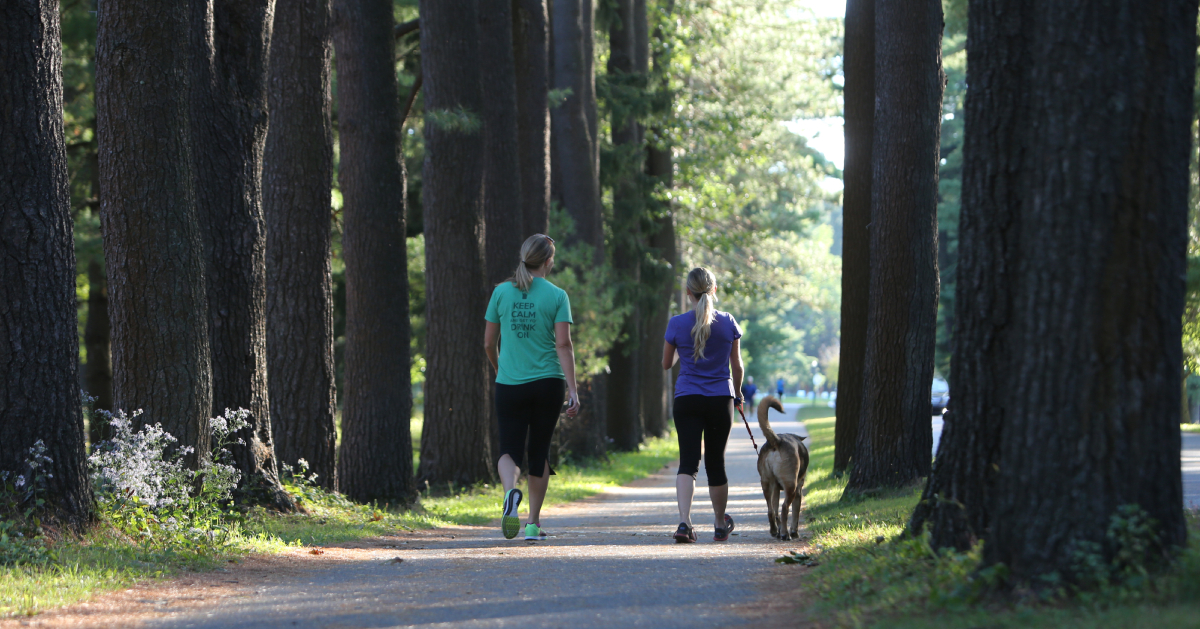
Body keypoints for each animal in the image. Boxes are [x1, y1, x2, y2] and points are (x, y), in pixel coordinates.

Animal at [753, 398, 811, 540]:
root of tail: (777, 441)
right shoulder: (798, 491)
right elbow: (795, 514)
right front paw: (794, 532)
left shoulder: (776, 490)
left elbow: (776, 511)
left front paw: (778, 530)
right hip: (791, 487)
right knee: (785, 509)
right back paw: (785, 534)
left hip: (766, 484)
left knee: (771, 511)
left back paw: (775, 531)